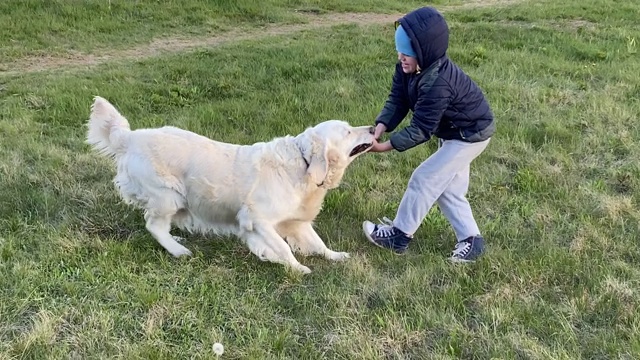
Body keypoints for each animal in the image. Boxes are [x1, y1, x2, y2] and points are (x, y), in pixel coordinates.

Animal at [85, 95, 376, 272]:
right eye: (348, 131)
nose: (374, 128)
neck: (303, 164)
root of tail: (130, 137)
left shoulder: (296, 221)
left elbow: (317, 243)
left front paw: (335, 256)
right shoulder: (257, 219)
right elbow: (282, 247)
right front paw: (297, 268)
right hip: (169, 196)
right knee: (153, 225)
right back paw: (178, 250)